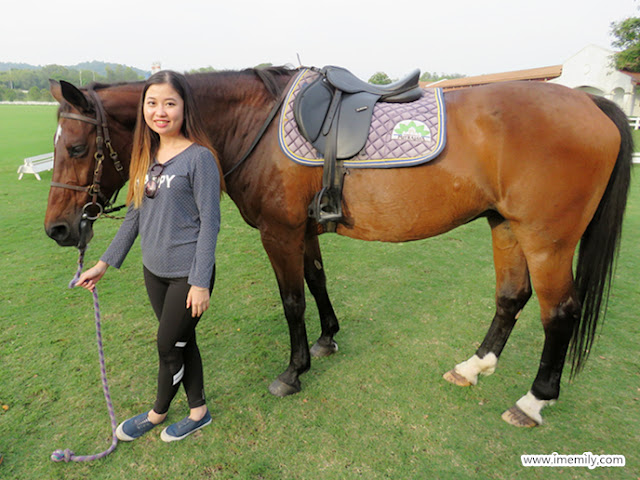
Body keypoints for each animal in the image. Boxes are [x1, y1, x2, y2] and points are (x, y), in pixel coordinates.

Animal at [46, 65, 636, 426]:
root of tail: (590, 103)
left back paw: (534, 400)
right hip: (507, 226)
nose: (59, 231)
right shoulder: (303, 231)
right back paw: (473, 367)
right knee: (511, 298)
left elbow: (291, 300)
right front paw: (327, 339)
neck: (252, 125)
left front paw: (293, 370)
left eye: (75, 147)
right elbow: (317, 281)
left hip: (547, 240)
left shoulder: (279, 233)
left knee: (560, 313)